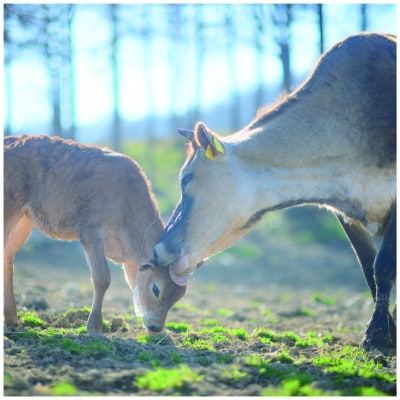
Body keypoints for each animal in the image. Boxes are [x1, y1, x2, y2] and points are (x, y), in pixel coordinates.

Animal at [4, 135, 186, 334]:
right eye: (156, 289)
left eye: (178, 296)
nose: (155, 326)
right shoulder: (91, 232)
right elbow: (102, 278)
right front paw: (94, 327)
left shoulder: (131, 257)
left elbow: (133, 284)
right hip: (10, 205)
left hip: (25, 219)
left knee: (8, 253)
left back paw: (11, 317)